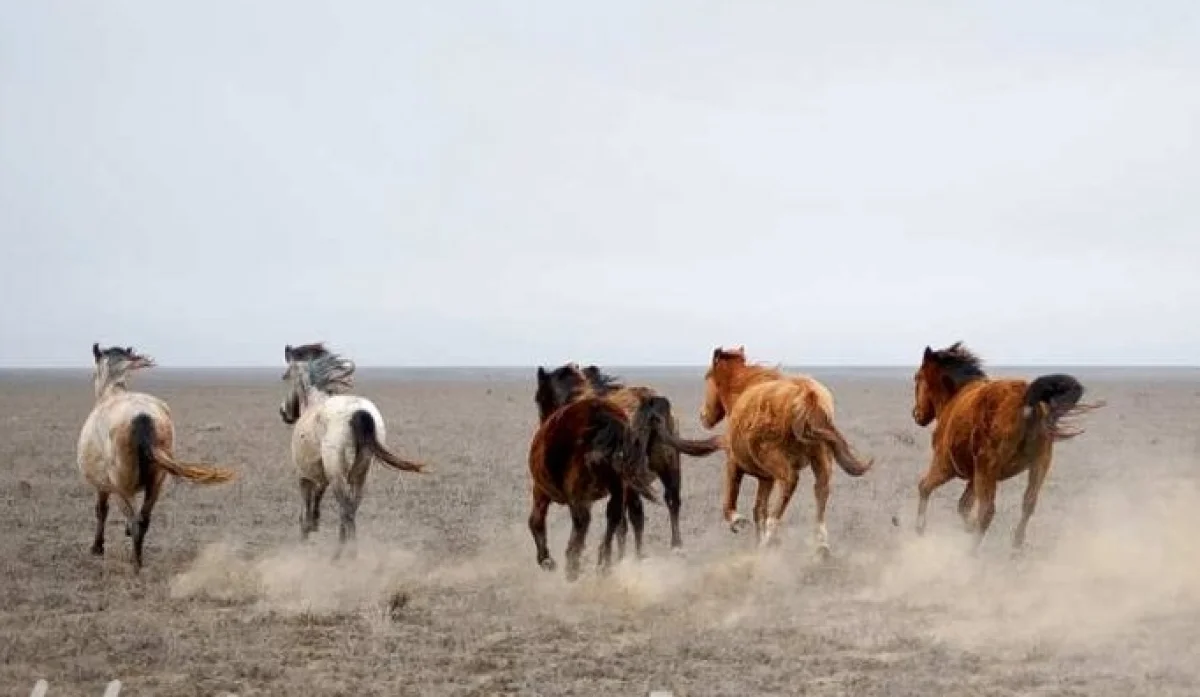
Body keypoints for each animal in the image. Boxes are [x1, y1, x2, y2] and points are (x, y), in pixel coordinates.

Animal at [76, 343, 237, 571]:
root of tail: (142, 418)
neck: (113, 391)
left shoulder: (103, 485)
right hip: (157, 481)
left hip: (121, 486)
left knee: (135, 520)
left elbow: (101, 510)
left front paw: (97, 547)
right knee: (143, 520)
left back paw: (136, 564)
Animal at [278, 340, 429, 556]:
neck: (314, 401)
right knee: (352, 508)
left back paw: (345, 556)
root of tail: (359, 412)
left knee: (346, 511)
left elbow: (304, 512)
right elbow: (316, 501)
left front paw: (305, 537)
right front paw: (315, 523)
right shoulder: (322, 477)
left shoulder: (305, 476)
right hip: (359, 475)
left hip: (338, 476)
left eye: (286, 376)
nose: (283, 412)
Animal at [537, 364, 720, 554]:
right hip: (669, 463)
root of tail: (649, 402)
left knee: (633, 515)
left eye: (540, 398)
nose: (546, 425)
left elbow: (621, 522)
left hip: (631, 477)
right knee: (671, 500)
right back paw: (675, 545)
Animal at [696, 345, 873, 554]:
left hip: (774, 456)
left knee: (789, 482)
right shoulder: (766, 478)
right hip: (821, 456)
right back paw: (820, 544)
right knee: (821, 489)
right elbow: (759, 509)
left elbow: (731, 500)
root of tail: (806, 395)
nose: (703, 415)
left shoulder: (734, 463)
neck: (742, 389)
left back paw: (770, 538)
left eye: (707, 377)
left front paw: (738, 521)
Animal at [912, 340, 1099, 549]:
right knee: (1028, 503)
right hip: (1039, 463)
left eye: (917, 378)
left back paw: (972, 552)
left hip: (987, 468)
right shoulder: (974, 476)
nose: (916, 414)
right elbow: (963, 505)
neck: (955, 397)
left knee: (987, 512)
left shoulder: (945, 466)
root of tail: (1026, 399)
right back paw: (1016, 546)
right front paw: (968, 527)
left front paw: (920, 528)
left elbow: (924, 487)